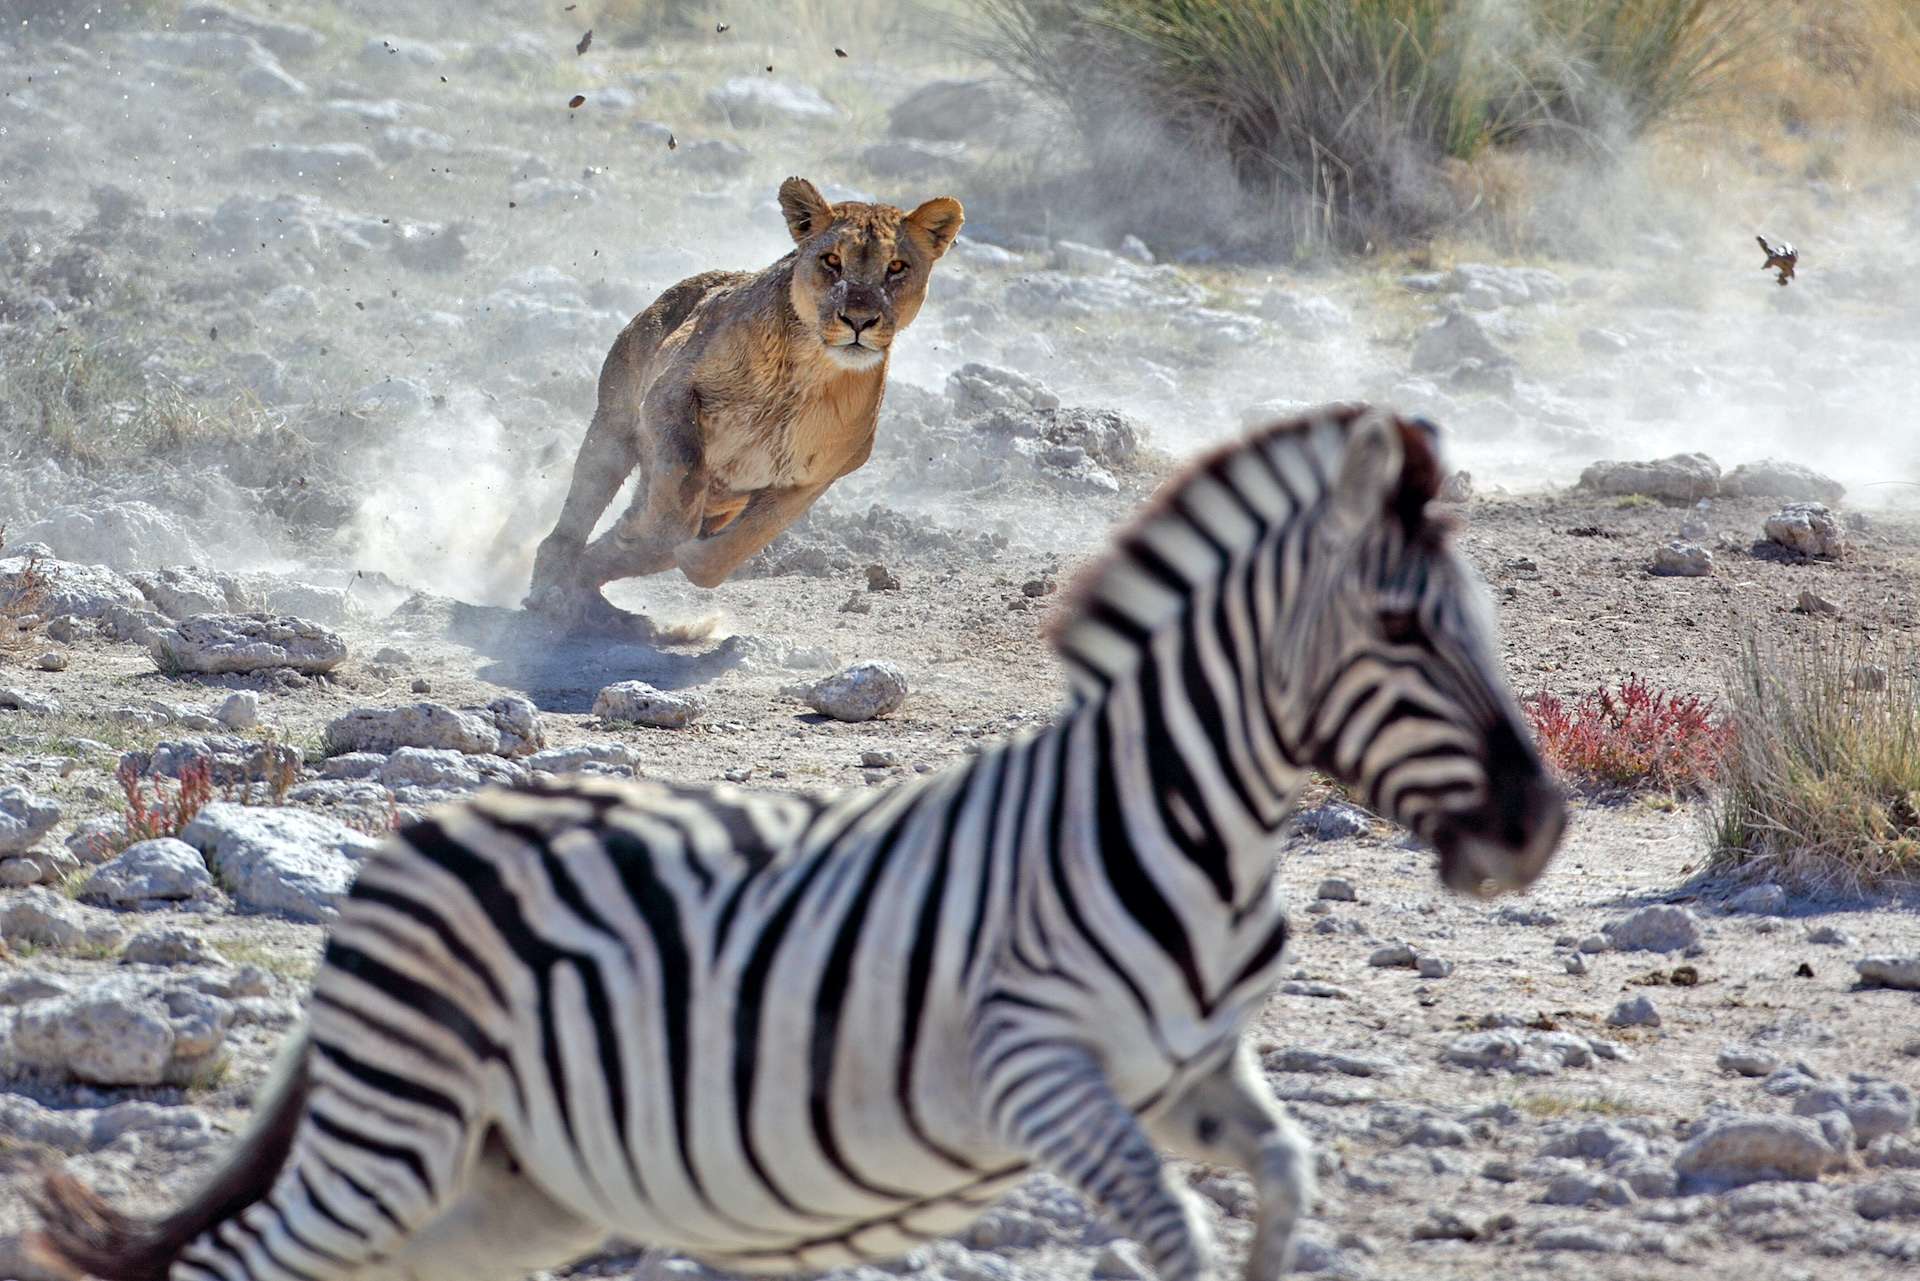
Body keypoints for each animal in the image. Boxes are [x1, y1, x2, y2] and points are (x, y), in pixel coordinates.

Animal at [33, 409, 1559, 1281]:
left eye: (1486, 620)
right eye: (1403, 630)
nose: (1539, 823)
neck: (1182, 828)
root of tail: (418, 843)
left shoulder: (1189, 1073)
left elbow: (1289, 1174)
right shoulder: (1034, 1069)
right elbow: (1173, 1230)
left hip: (513, 1185)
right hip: (395, 1138)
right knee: (243, 1262)